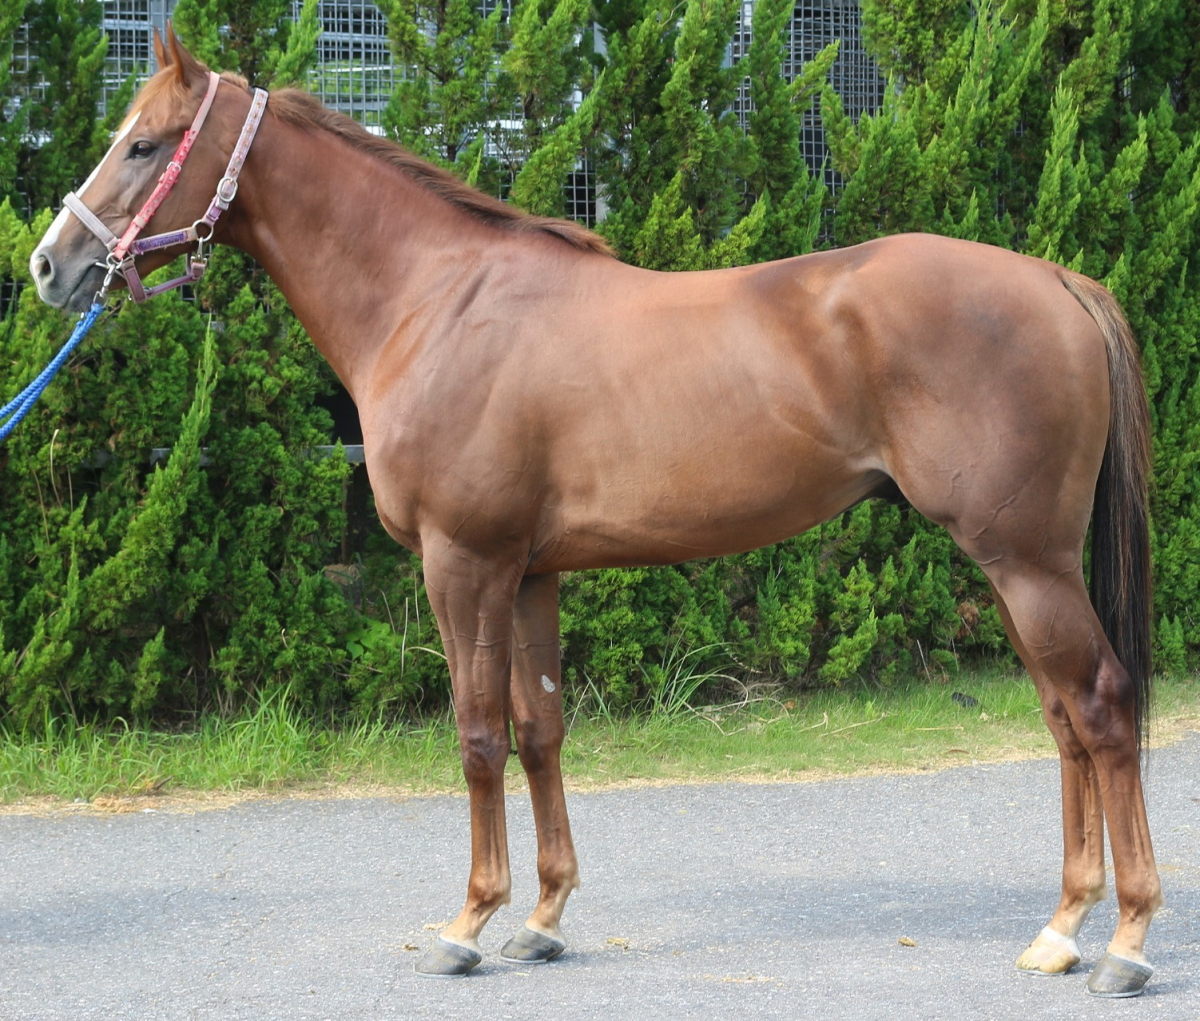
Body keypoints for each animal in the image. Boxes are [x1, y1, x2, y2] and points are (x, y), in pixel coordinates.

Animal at [29, 27, 1161, 996]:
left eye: (143, 143)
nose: (50, 265)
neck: (434, 300)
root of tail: (1057, 279)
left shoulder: (464, 563)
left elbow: (477, 733)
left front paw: (467, 923)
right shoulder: (531, 572)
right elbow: (540, 729)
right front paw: (541, 918)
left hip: (1026, 561)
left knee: (1103, 708)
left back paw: (1126, 940)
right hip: (1012, 565)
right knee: (1063, 719)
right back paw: (1061, 928)